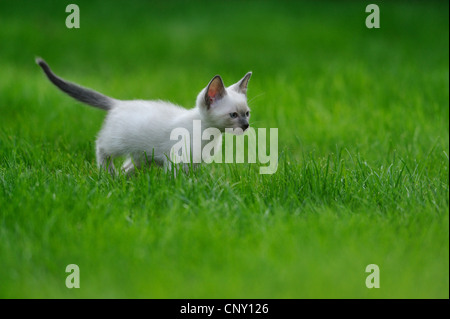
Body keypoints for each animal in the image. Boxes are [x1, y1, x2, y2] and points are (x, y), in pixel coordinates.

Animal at [36, 58, 253, 176]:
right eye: (233, 115)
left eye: (247, 113)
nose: (246, 125)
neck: (210, 135)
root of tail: (118, 103)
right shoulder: (176, 160)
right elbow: (175, 180)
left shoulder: (194, 163)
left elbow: (193, 179)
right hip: (116, 142)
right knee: (101, 148)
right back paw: (107, 173)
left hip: (142, 156)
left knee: (127, 167)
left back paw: (120, 180)